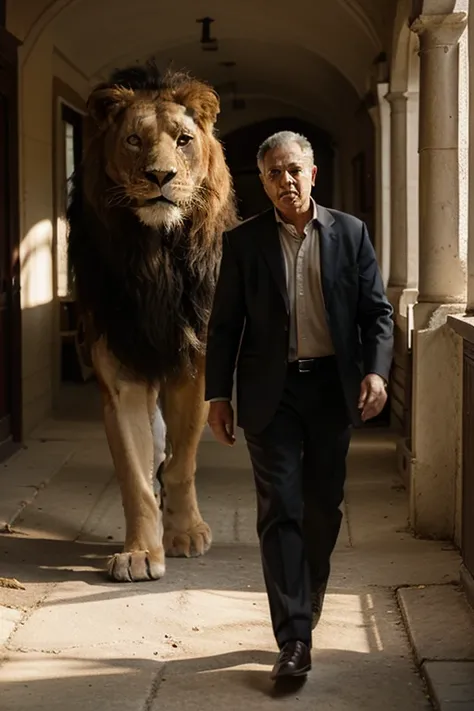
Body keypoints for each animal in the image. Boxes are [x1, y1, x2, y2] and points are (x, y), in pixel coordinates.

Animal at [66, 62, 237, 584]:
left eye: (183, 140)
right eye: (133, 141)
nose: (160, 176)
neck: (156, 257)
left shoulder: (194, 366)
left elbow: (182, 462)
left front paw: (185, 534)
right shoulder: (121, 372)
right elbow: (134, 475)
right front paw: (141, 552)